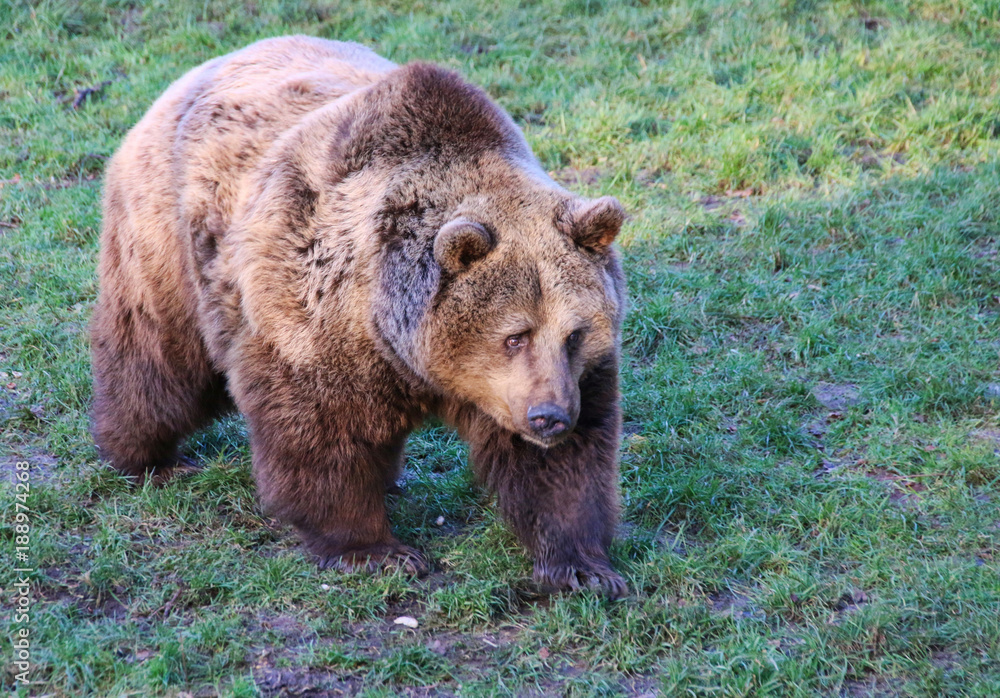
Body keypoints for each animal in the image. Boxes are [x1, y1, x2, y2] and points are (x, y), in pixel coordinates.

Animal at [92, 35, 624, 596]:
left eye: (575, 334)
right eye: (514, 335)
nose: (549, 416)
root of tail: (197, 72)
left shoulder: (564, 379)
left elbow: (565, 465)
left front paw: (582, 566)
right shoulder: (315, 313)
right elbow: (321, 434)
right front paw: (376, 551)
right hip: (172, 244)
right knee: (158, 357)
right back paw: (147, 458)